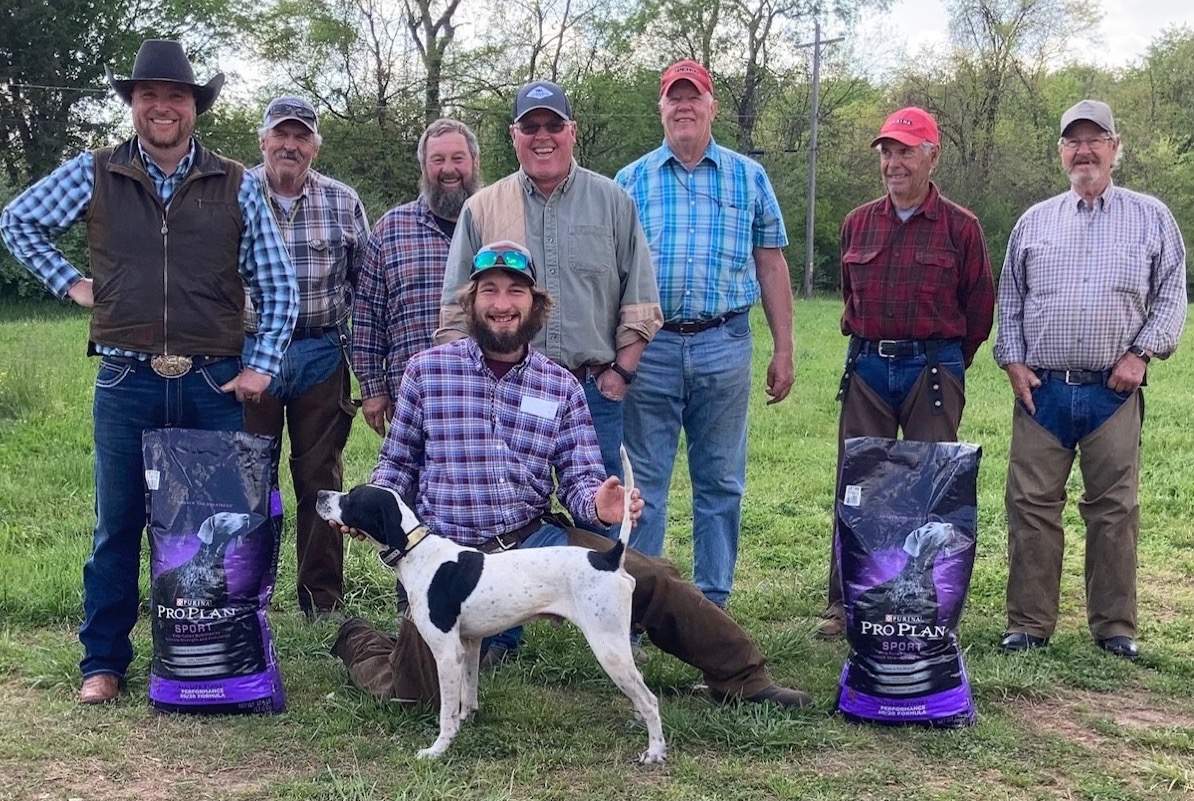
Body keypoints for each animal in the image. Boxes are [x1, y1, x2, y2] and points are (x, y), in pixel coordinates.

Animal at [312, 444, 668, 763]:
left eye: (352, 497)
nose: (319, 494)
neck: (419, 553)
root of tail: (609, 558)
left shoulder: (446, 652)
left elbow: (446, 712)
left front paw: (437, 749)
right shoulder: (469, 645)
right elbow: (467, 696)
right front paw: (465, 722)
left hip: (609, 647)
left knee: (651, 700)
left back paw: (654, 752)